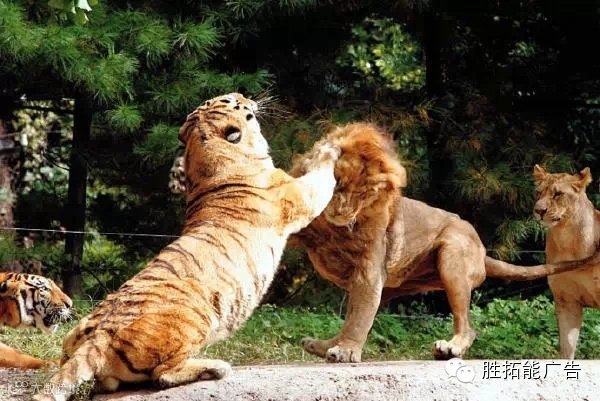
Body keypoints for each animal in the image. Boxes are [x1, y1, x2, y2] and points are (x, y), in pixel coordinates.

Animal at [33, 93, 340, 401]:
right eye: (231, 100)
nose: (246, 95)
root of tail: (99, 336)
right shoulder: (301, 195)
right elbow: (322, 177)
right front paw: (330, 148)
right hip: (198, 314)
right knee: (163, 374)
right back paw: (216, 367)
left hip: (73, 338)